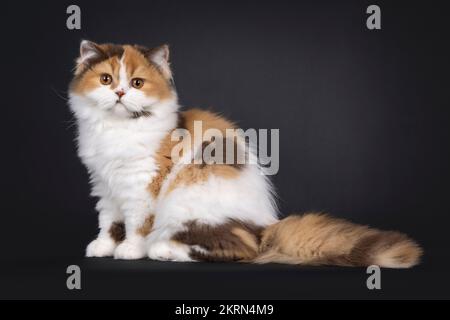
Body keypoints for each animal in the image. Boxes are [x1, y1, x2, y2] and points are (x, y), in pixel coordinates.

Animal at [67, 40, 422, 268]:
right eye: (106, 79)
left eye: (137, 83)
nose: (119, 92)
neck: (116, 130)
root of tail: (264, 229)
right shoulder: (104, 184)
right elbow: (109, 221)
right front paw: (103, 247)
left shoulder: (143, 187)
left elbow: (136, 224)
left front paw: (129, 250)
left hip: (187, 203)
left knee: (238, 250)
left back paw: (162, 250)